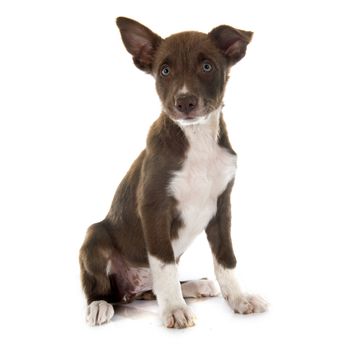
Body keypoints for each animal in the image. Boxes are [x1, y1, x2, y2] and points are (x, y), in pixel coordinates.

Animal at [79, 16, 268, 328]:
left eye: (207, 67)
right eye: (165, 71)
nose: (185, 102)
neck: (197, 139)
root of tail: (130, 291)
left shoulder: (221, 207)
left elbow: (226, 260)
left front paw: (239, 299)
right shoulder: (154, 207)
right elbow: (164, 265)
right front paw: (175, 310)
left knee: (152, 289)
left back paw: (194, 285)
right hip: (94, 237)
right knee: (102, 287)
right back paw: (99, 305)